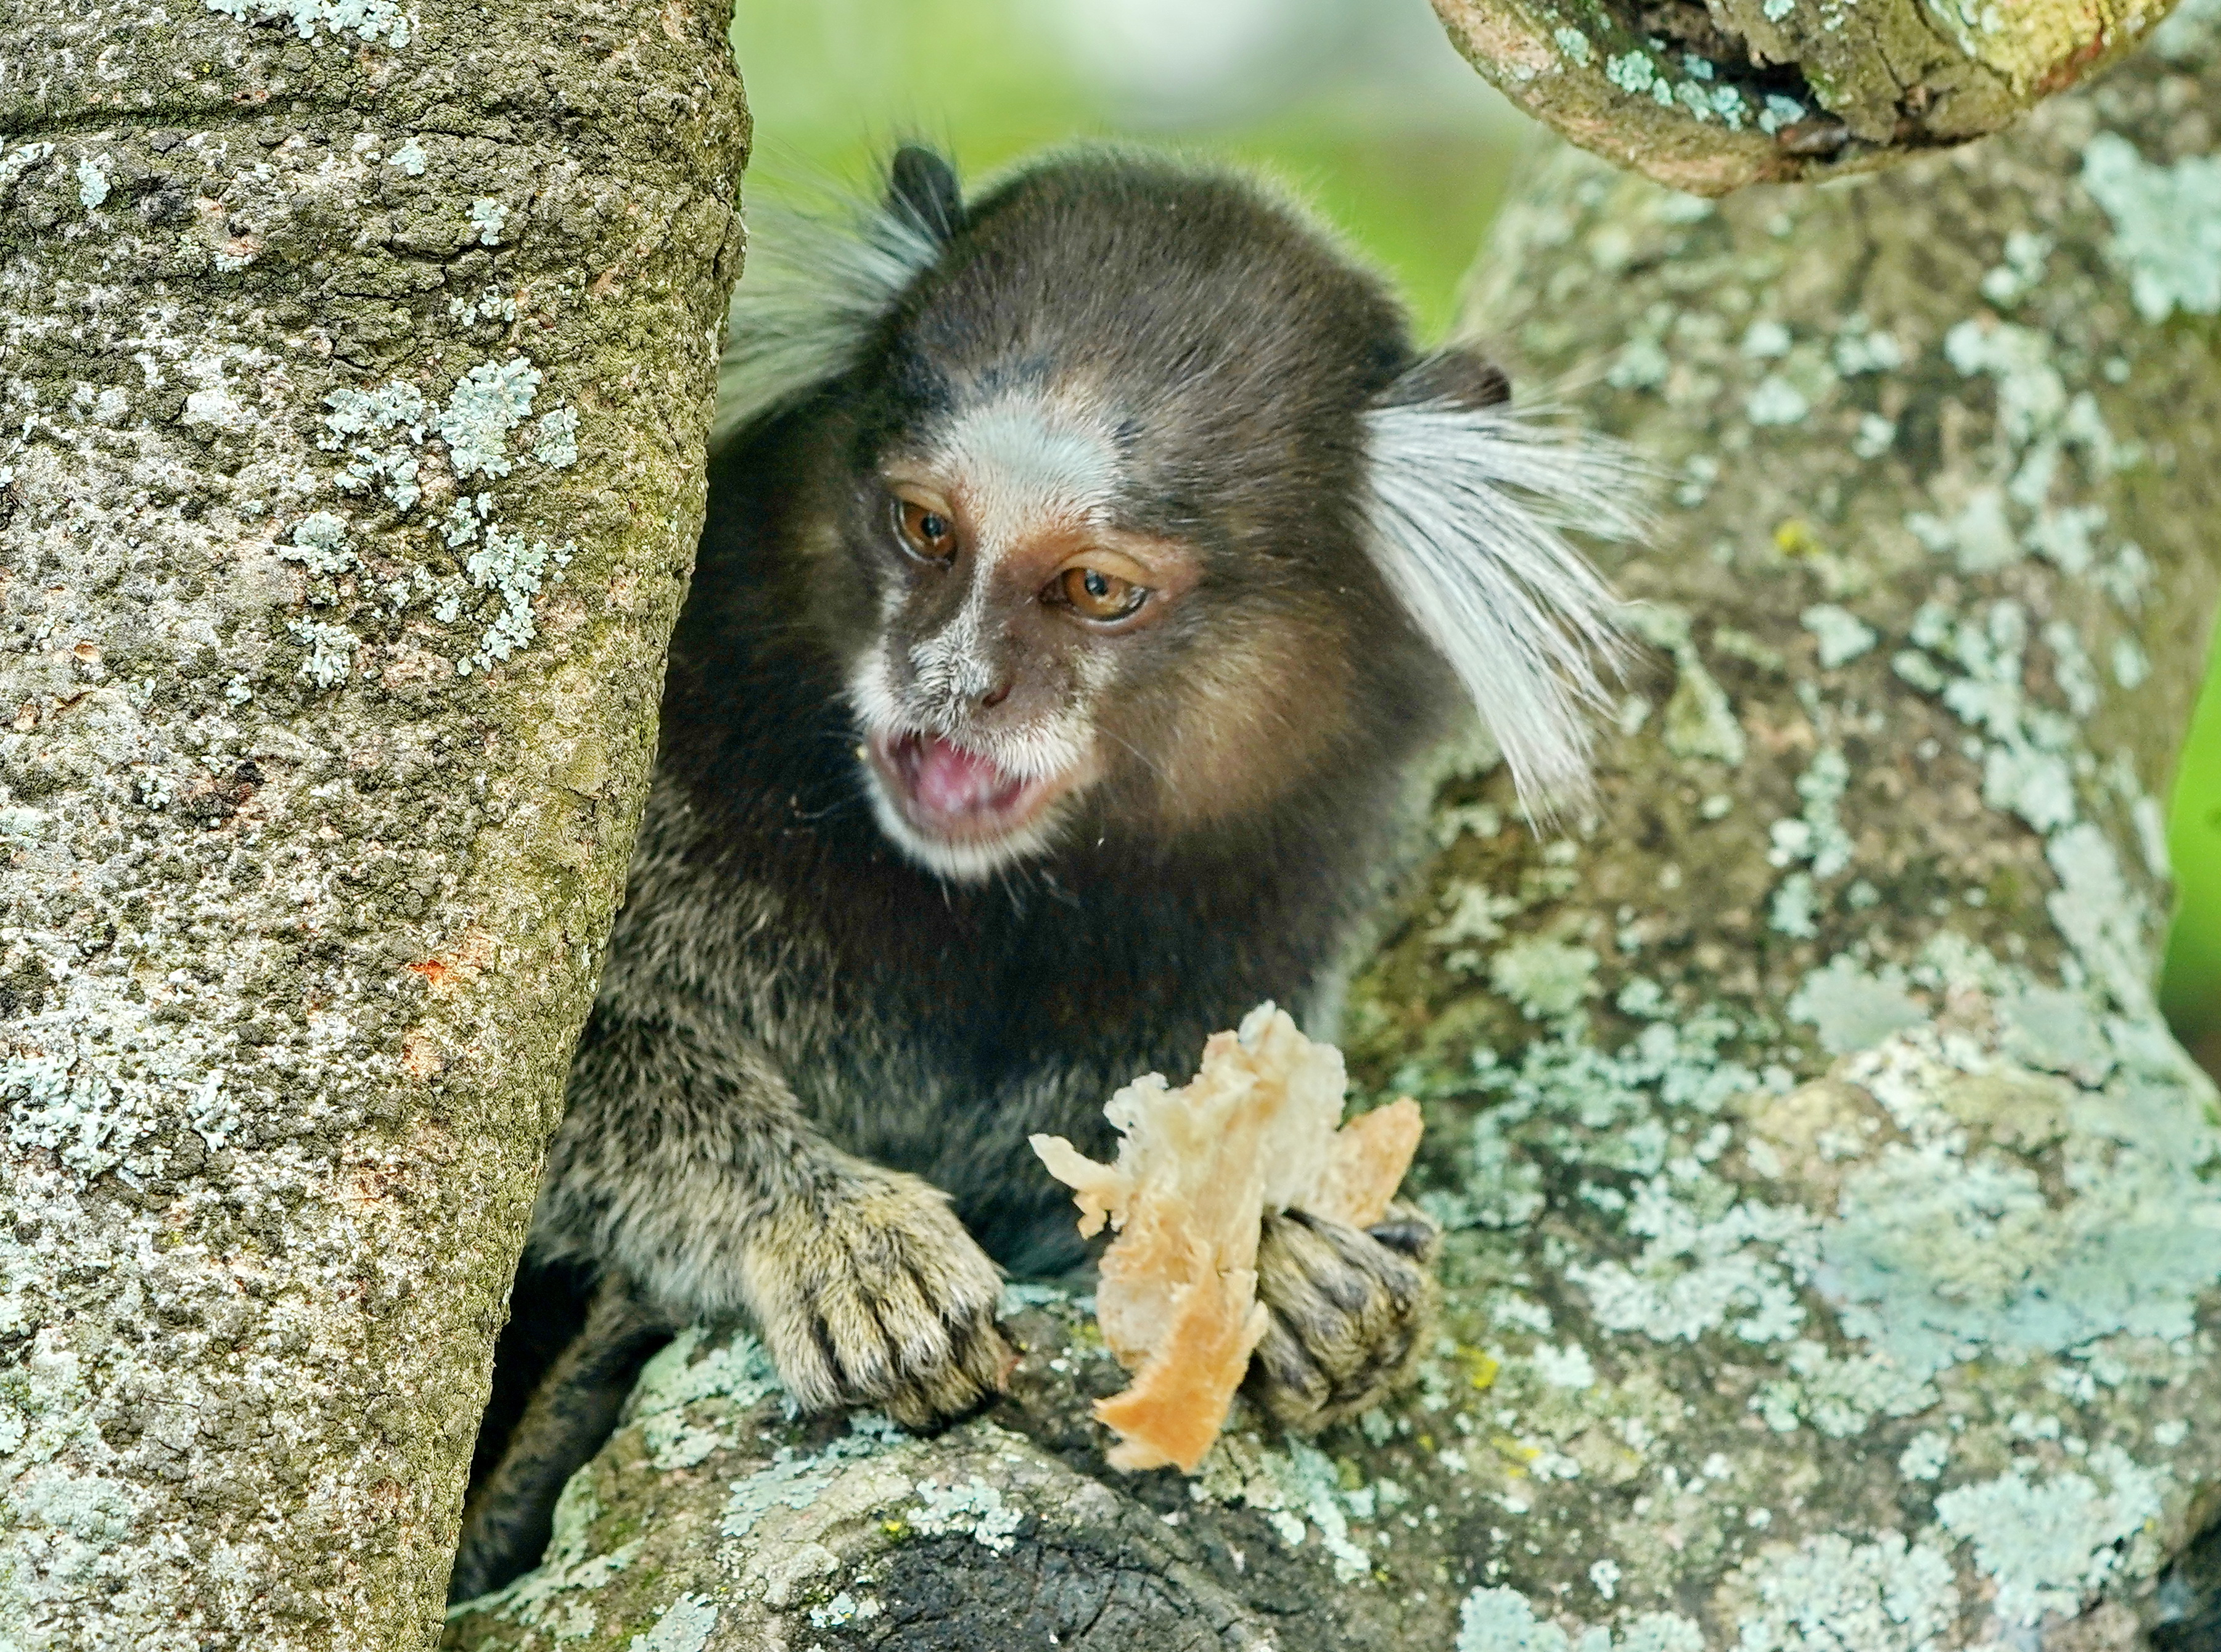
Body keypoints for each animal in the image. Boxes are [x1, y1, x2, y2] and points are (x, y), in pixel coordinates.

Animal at [451, 145, 1635, 1598]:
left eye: (1096, 589)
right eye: (924, 528)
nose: (951, 683)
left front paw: (1282, 1257)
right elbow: (550, 1088)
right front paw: (834, 1232)